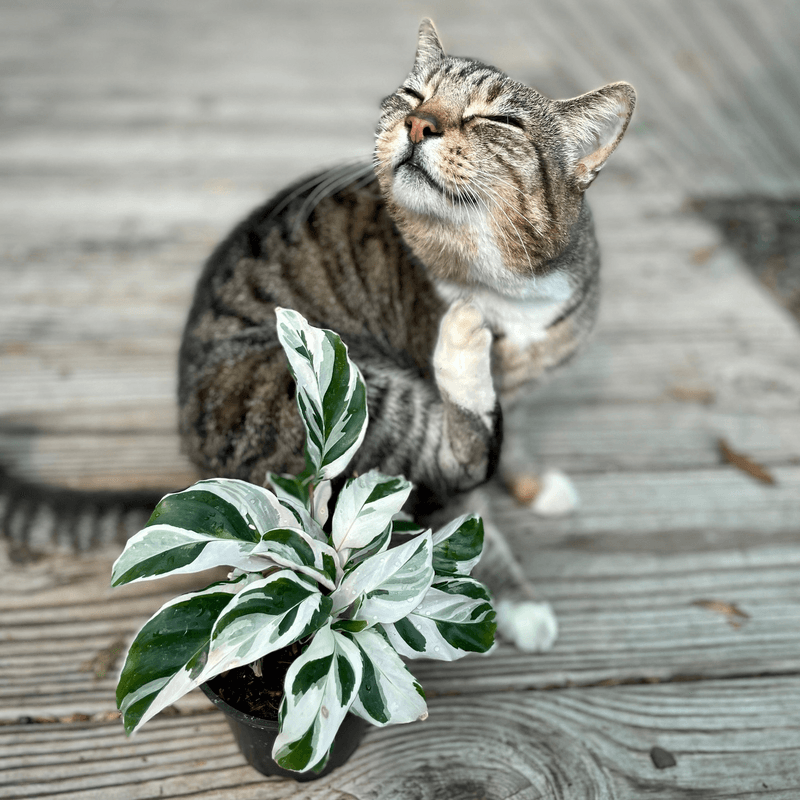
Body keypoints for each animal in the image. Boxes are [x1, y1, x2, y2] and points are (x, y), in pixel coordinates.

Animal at [177, 21, 636, 652]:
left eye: (498, 120)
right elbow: (472, 514)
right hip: (328, 391)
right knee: (451, 454)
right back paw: (461, 346)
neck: (509, 286)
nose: (419, 124)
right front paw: (515, 601)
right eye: (415, 95)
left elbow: (510, 442)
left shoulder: (520, 395)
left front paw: (534, 482)